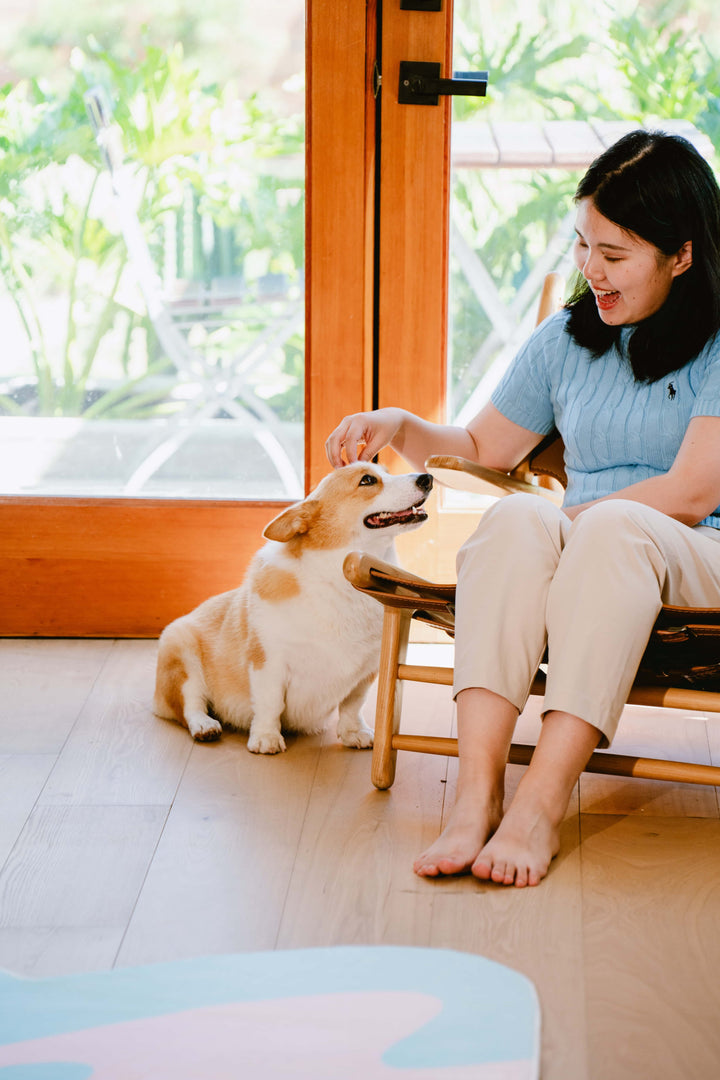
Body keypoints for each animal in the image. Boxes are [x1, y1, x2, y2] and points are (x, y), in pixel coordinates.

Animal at [153, 460, 431, 756]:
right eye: (367, 480)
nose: (427, 478)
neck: (339, 579)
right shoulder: (268, 662)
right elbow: (270, 703)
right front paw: (266, 738)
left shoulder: (366, 671)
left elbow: (352, 705)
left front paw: (354, 733)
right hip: (181, 650)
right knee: (190, 703)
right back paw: (205, 726)